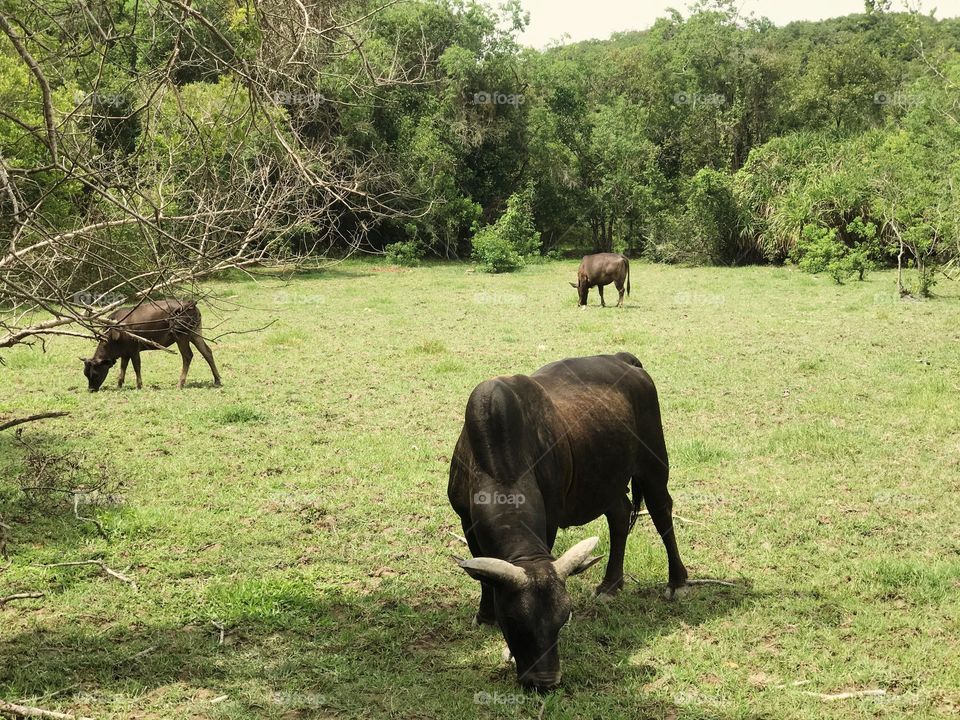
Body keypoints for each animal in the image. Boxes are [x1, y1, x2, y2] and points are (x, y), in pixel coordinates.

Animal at [81, 300, 221, 394]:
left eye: (95, 374)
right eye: (85, 374)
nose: (91, 389)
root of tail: (190, 303)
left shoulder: (134, 349)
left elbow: (137, 366)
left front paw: (139, 386)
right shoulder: (125, 352)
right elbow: (123, 367)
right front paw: (119, 384)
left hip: (181, 335)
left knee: (187, 356)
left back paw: (180, 384)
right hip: (195, 333)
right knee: (207, 352)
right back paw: (217, 380)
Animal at [446, 354, 688, 692]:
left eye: (563, 620)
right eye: (514, 621)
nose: (545, 681)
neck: (500, 468)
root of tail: (623, 360)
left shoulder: (549, 519)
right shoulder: (465, 518)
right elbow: (483, 577)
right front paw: (484, 616)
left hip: (653, 464)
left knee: (662, 512)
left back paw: (677, 581)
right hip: (607, 481)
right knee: (619, 515)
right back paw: (610, 584)